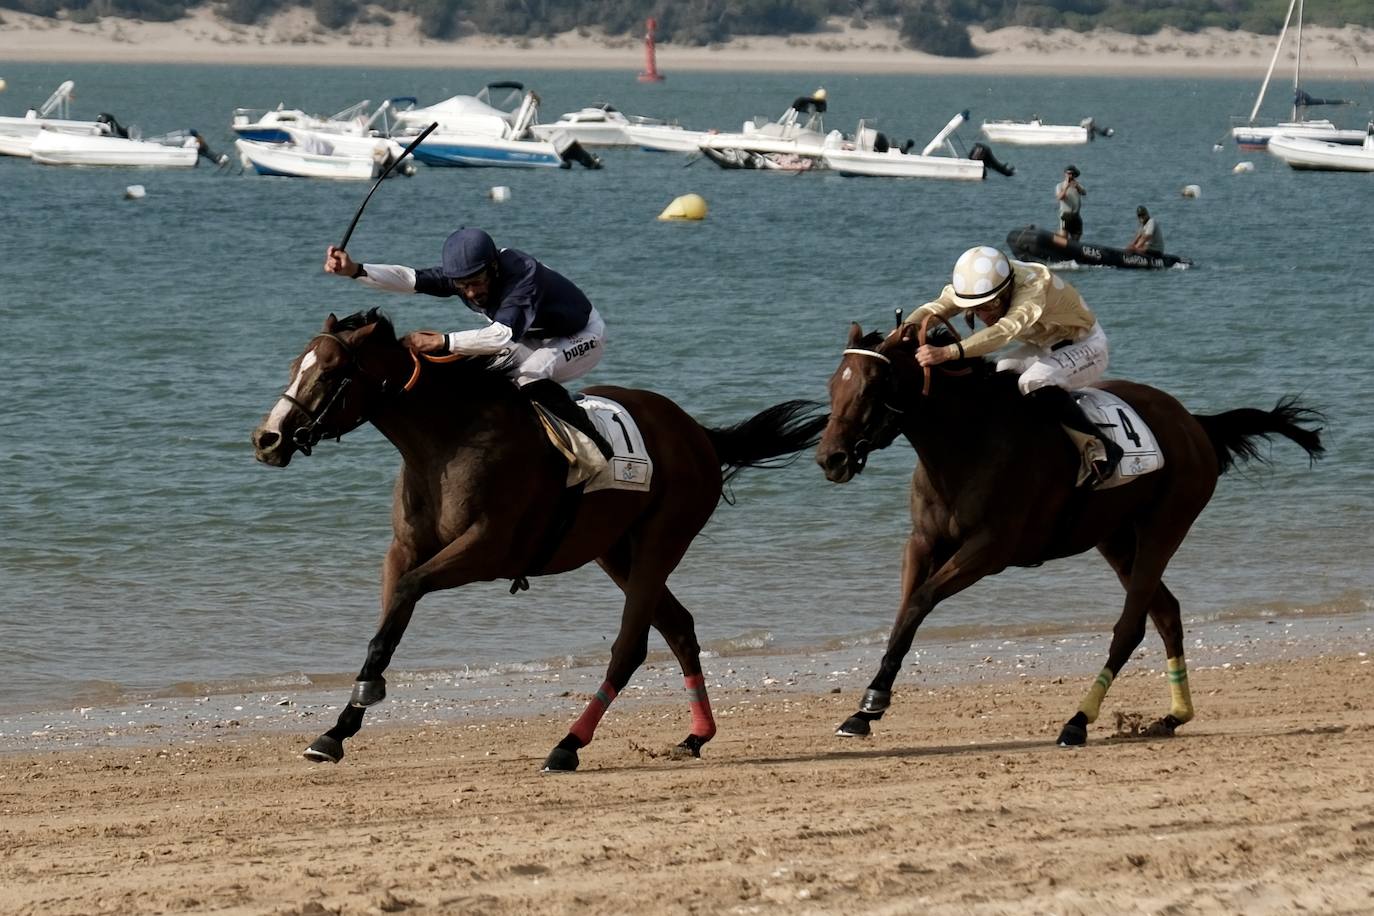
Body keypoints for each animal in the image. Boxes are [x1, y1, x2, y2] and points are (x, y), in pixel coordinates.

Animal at [251, 311, 818, 769]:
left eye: (330, 372)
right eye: (294, 365)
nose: (267, 439)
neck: (447, 440)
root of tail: (699, 434)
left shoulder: (486, 549)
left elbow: (408, 593)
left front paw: (365, 697)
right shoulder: (404, 550)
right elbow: (387, 627)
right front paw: (336, 731)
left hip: (662, 541)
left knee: (630, 646)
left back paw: (568, 745)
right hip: (615, 550)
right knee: (678, 627)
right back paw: (696, 735)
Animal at [813, 321, 1319, 747]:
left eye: (871, 386)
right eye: (833, 384)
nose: (830, 458)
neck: (968, 441)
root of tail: (1195, 423)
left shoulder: (990, 549)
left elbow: (920, 601)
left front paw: (872, 702)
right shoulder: (922, 543)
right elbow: (904, 613)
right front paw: (864, 710)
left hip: (1164, 526)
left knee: (1131, 625)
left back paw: (1078, 721)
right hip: (1116, 539)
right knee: (1166, 613)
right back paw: (1173, 715)